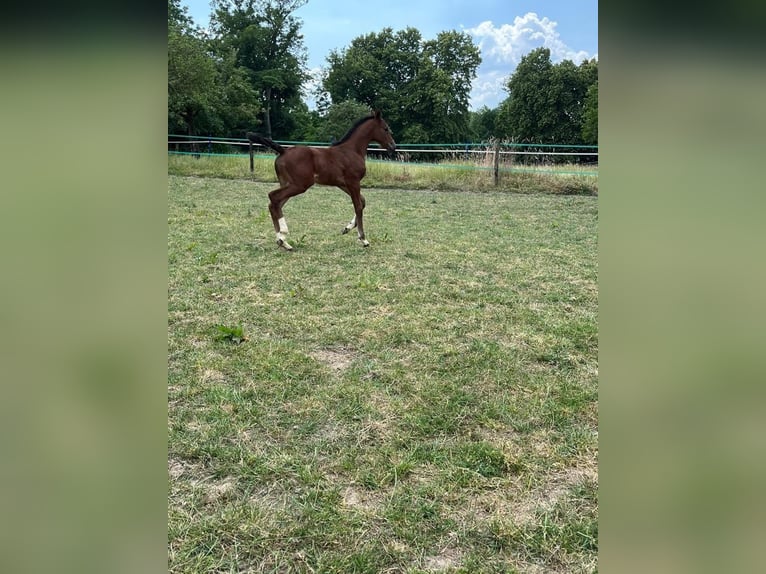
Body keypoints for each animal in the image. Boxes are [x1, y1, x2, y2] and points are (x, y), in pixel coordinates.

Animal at [249, 110, 400, 250]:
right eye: (386, 128)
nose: (393, 146)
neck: (352, 150)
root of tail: (283, 151)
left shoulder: (343, 184)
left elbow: (362, 202)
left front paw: (347, 228)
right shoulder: (353, 182)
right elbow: (358, 206)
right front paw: (363, 239)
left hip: (287, 183)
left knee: (275, 204)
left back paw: (283, 242)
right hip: (300, 185)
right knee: (273, 197)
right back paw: (283, 235)